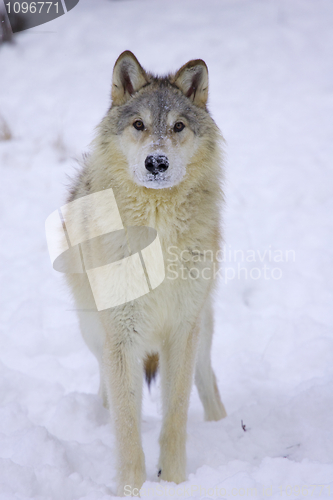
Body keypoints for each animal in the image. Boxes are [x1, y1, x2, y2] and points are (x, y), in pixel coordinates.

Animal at [65, 50, 226, 496]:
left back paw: (223, 426)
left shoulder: (182, 332)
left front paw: (174, 482)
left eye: (178, 127)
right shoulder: (121, 338)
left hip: (202, 328)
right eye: (138, 125)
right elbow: (127, 427)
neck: (158, 231)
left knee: (207, 380)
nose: (157, 161)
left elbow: (175, 417)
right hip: (94, 333)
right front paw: (131, 490)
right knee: (108, 387)